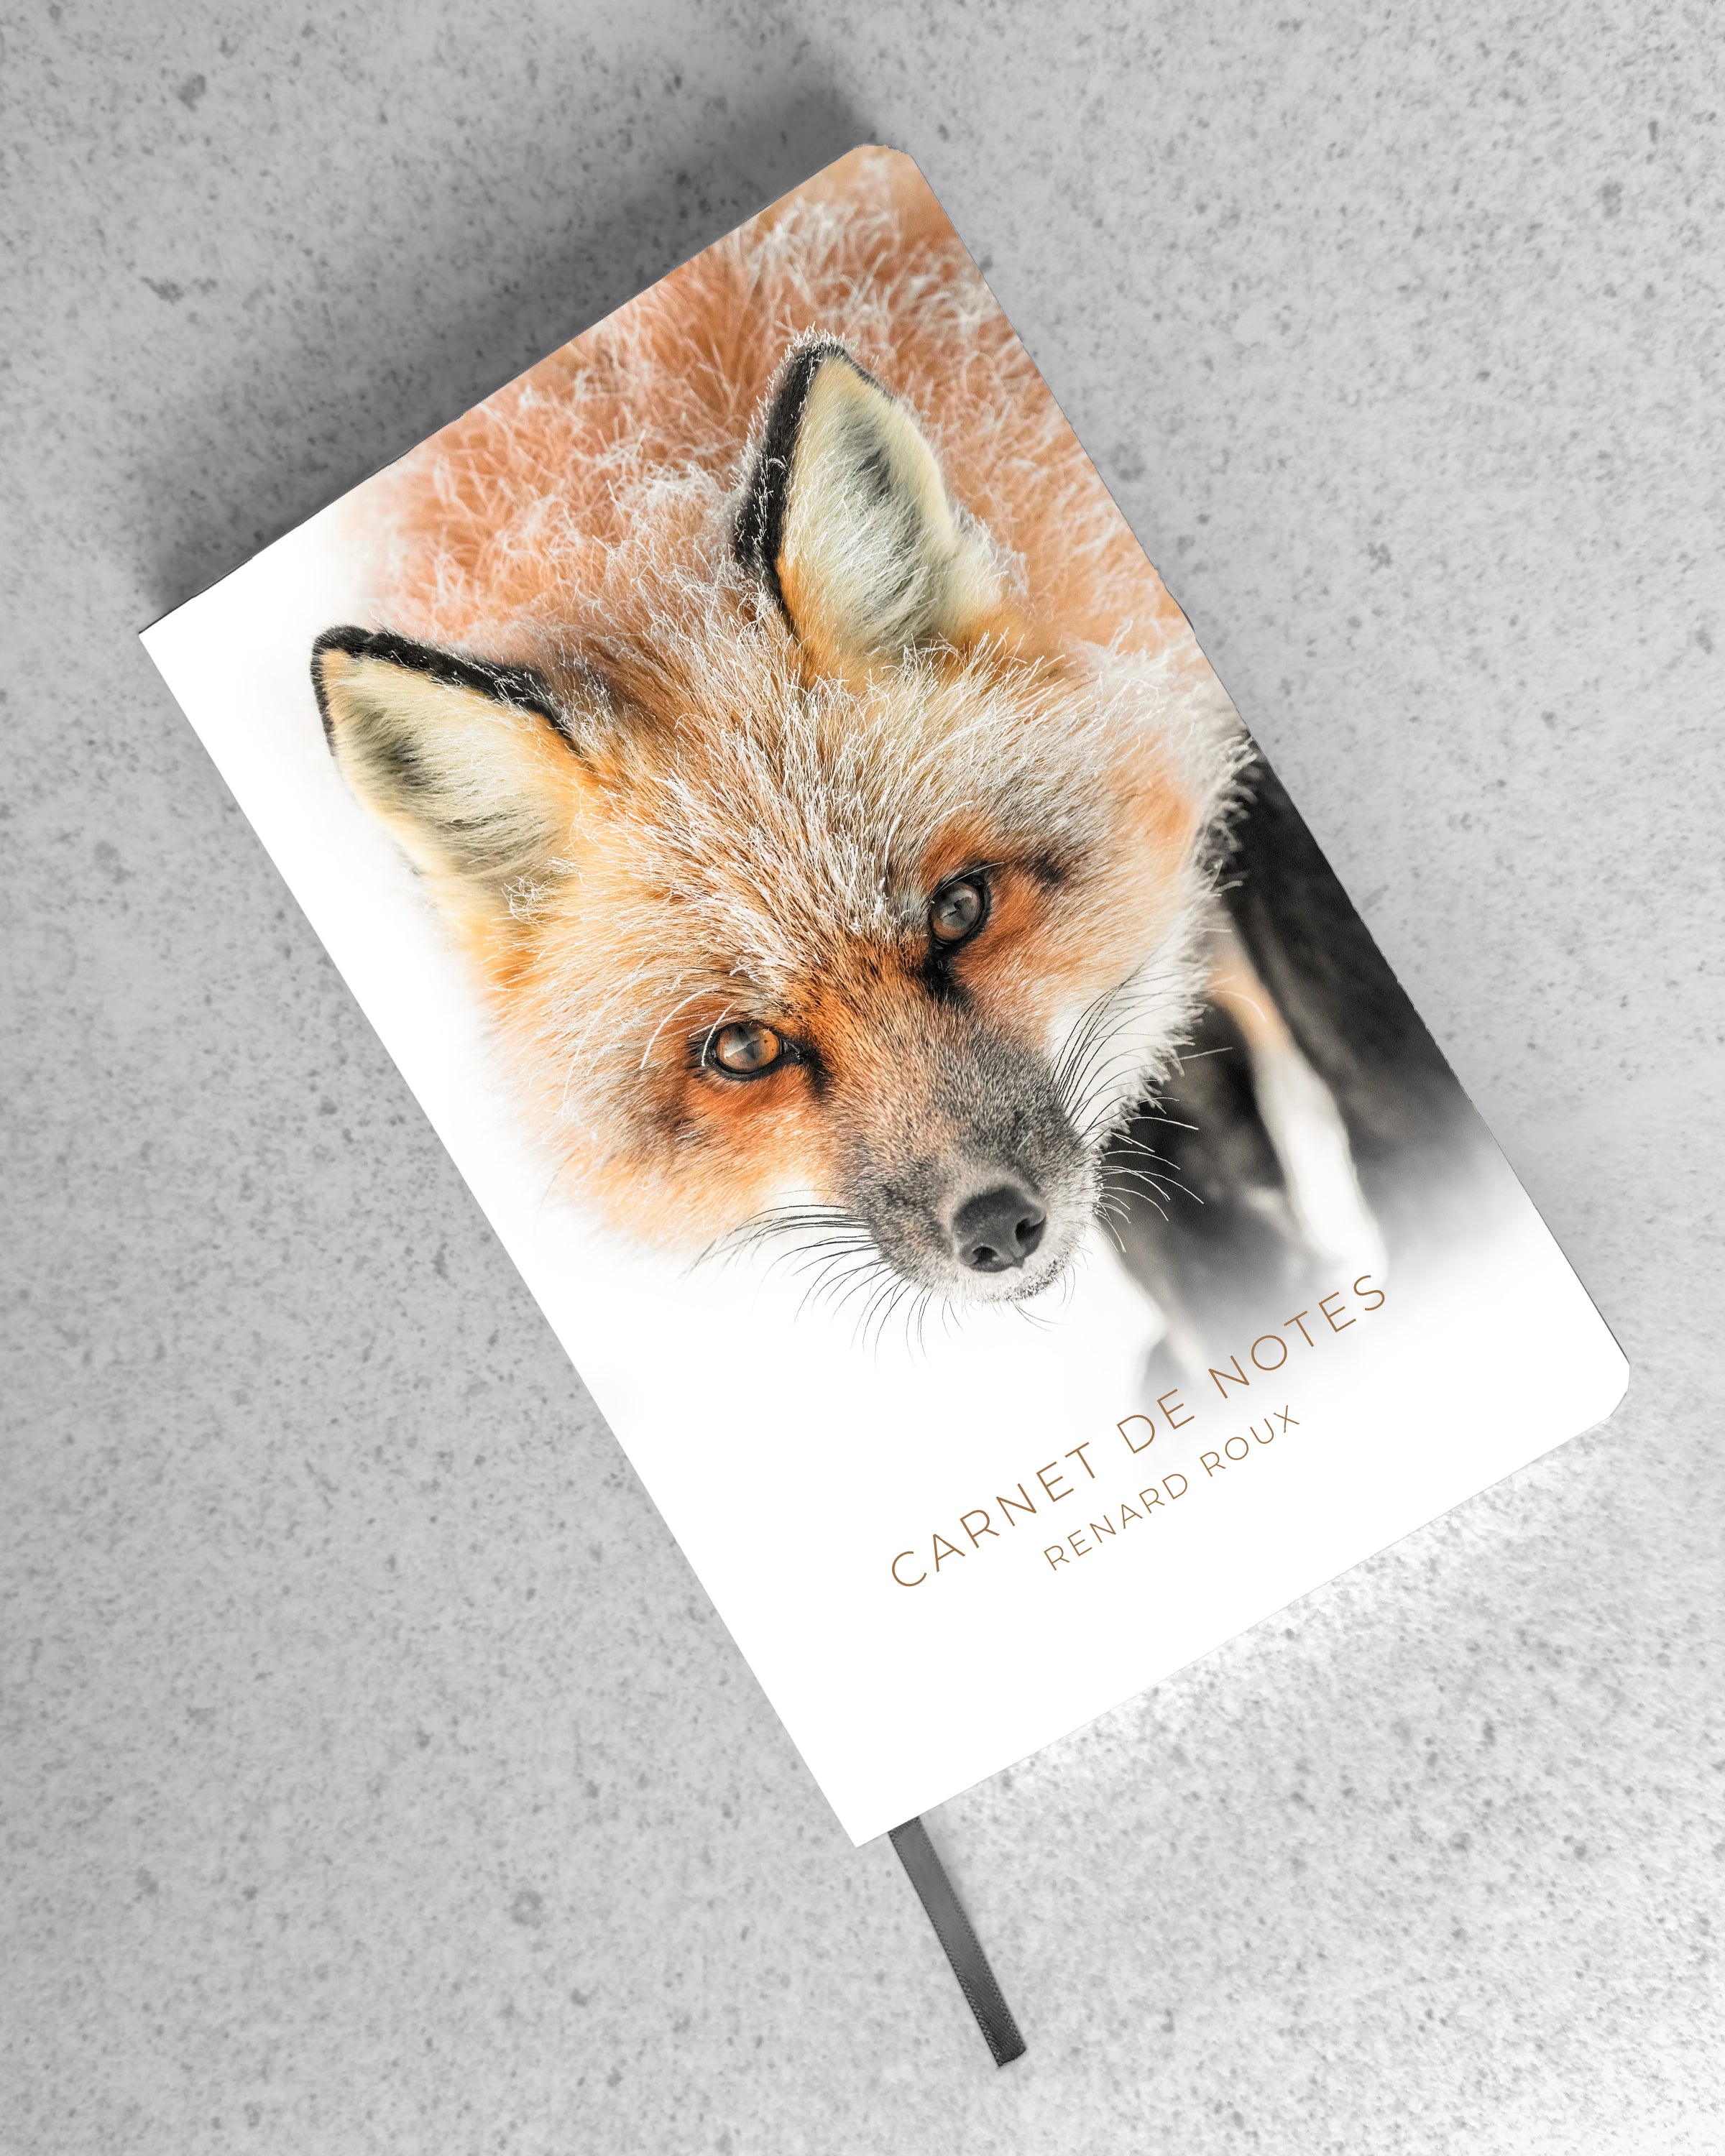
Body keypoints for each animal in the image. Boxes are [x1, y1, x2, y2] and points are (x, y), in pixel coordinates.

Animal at [311, 146, 1476, 1340]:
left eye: (959, 911)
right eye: (744, 1050)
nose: (998, 1231)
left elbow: (1348, 1013)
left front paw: (1451, 1222)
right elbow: (1175, 1192)